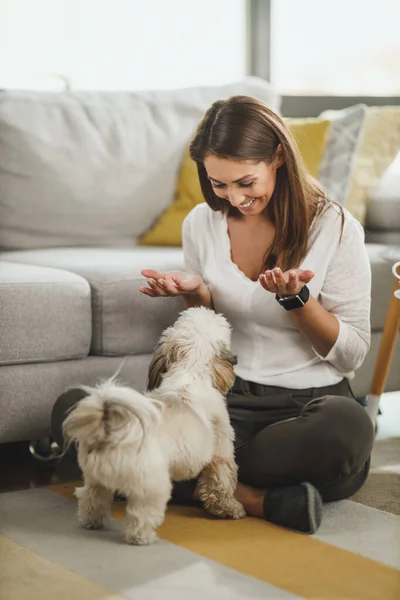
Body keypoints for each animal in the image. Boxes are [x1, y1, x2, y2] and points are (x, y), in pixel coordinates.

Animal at [62, 308, 245, 548]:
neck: (188, 375)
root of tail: (114, 430)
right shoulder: (221, 454)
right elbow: (221, 482)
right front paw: (230, 508)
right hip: (152, 487)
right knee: (140, 515)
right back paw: (143, 537)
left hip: (94, 478)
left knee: (91, 498)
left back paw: (92, 522)